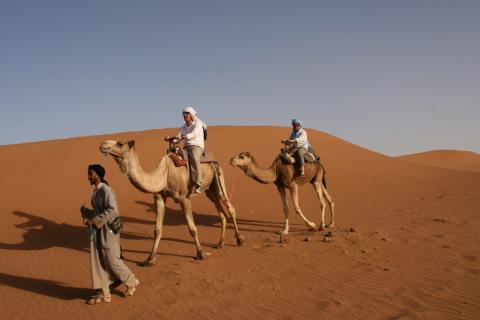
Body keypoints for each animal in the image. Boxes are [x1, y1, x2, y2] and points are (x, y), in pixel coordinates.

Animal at [100, 140, 244, 264]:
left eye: (119, 143)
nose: (103, 144)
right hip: (210, 190)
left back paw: (239, 239)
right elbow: (157, 230)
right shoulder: (159, 197)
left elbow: (192, 228)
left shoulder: (183, 198)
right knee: (221, 212)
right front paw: (149, 259)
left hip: (218, 178)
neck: (163, 174)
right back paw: (220, 244)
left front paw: (201, 254)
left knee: (229, 206)